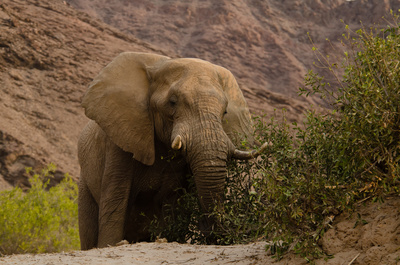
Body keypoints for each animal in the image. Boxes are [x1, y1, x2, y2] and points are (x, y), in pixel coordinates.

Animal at [77, 52, 268, 250]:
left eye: (225, 112)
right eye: (172, 102)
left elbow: (174, 206)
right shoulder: (121, 138)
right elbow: (116, 199)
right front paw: (110, 244)